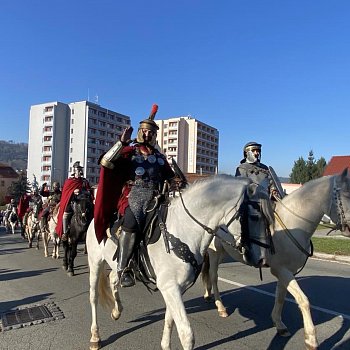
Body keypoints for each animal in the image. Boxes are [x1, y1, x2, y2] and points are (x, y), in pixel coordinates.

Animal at [86, 175, 274, 350]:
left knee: (113, 278)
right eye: (255, 217)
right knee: (93, 297)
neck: (184, 229)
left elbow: (169, 320)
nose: (264, 260)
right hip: (95, 262)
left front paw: (165, 344)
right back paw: (95, 337)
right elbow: (186, 334)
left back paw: (116, 311)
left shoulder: (176, 289)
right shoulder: (170, 287)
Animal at [200, 168, 350, 348]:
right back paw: (220, 307)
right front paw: (311, 339)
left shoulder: (287, 271)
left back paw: (208, 295)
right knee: (213, 276)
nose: (349, 229)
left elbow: (280, 297)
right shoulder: (282, 270)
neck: (292, 224)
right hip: (215, 252)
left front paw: (279, 325)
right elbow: (303, 300)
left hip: (223, 252)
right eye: (347, 195)